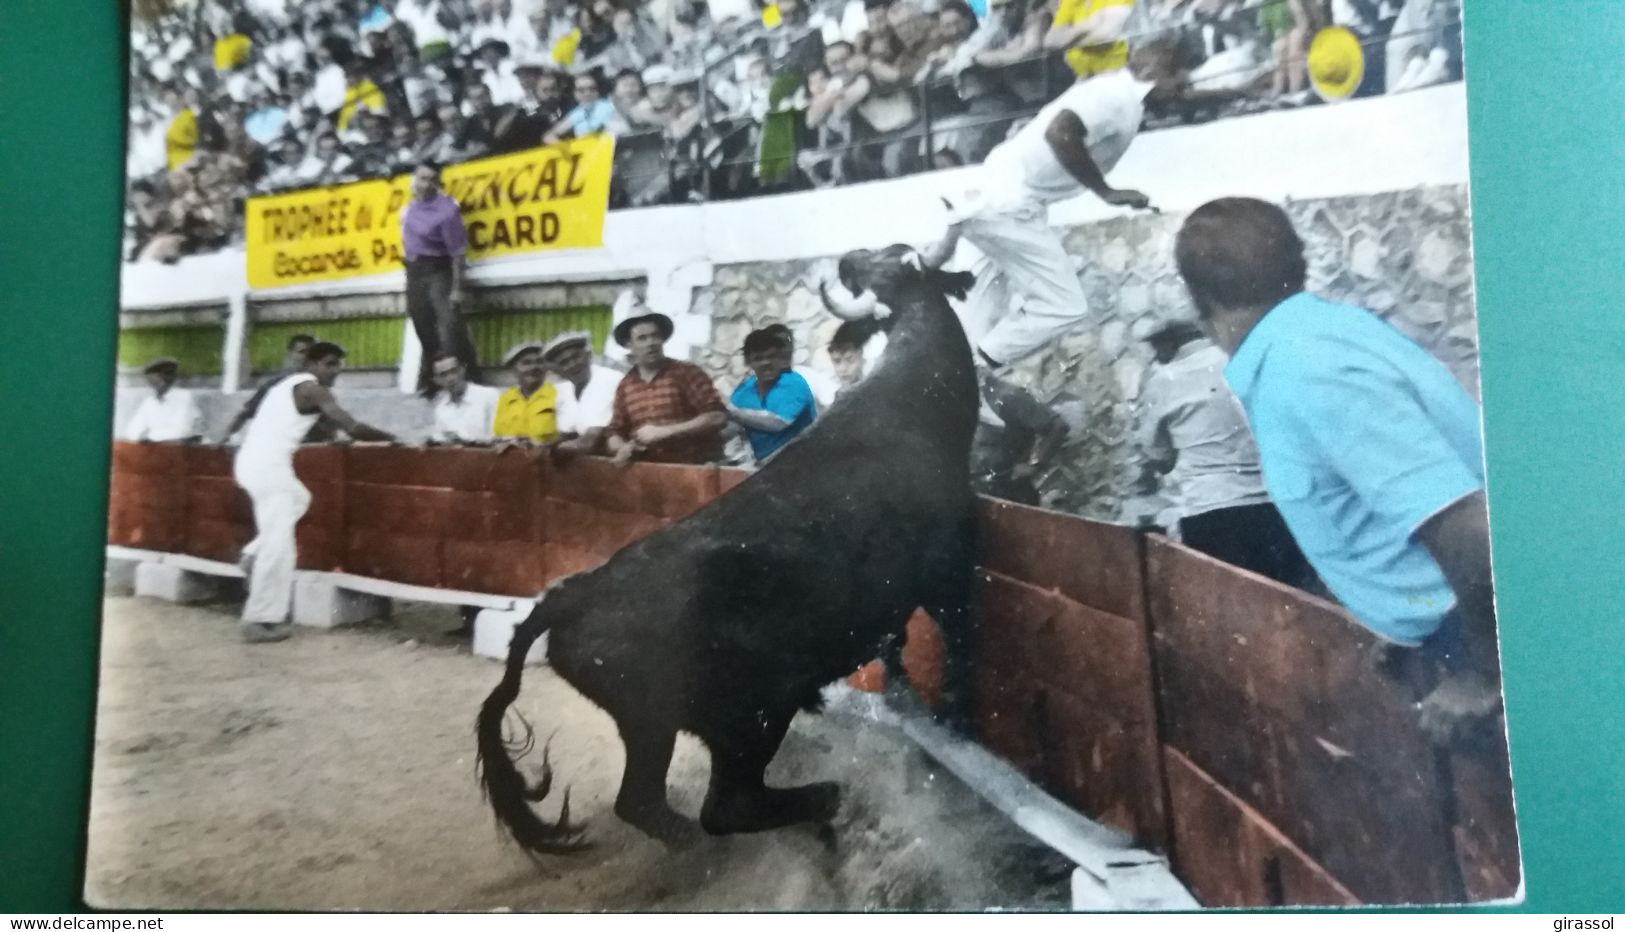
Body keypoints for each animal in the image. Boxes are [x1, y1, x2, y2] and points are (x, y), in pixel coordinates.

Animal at [471, 246, 975, 857]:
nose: (852, 260)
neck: (912, 403)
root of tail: (576, 592)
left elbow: (897, 648)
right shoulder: (948, 574)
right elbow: (957, 642)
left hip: (655, 725)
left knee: (643, 802)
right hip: (748, 718)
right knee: (726, 806)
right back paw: (824, 801)